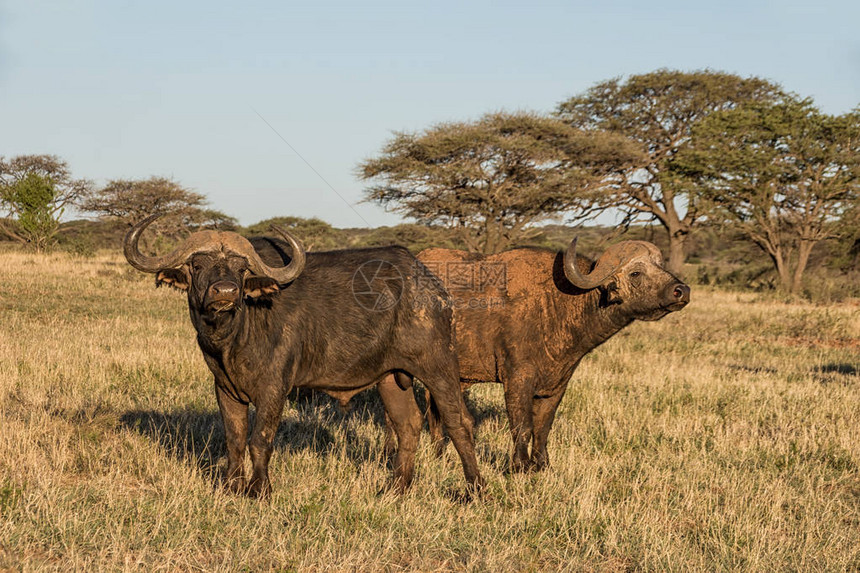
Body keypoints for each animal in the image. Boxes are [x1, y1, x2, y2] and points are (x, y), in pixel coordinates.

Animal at [122, 213, 484, 496]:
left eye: (241, 269)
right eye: (198, 265)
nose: (225, 292)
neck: (234, 334)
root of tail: (432, 287)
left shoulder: (274, 388)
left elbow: (260, 439)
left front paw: (259, 490)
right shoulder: (224, 388)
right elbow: (234, 439)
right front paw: (232, 487)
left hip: (438, 365)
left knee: (459, 422)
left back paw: (474, 490)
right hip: (391, 378)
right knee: (408, 424)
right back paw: (395, 489)